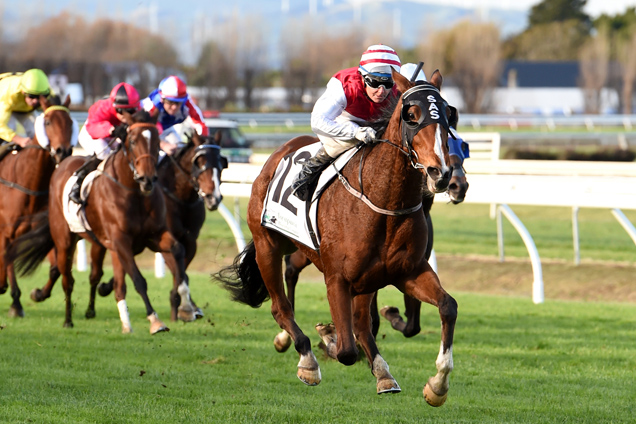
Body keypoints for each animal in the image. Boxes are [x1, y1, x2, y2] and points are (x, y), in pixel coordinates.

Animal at [0, 93, 76, 318]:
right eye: (48, 122)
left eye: (70, 122)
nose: (62, 151)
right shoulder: (6, 230)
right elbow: (6, 258)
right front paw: (14, 300)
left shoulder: (46, 231)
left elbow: (56, 268)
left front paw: (39, 293)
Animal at [7, 110, 193, 334]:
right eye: (132, 141)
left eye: (157, 141)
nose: (147, 179)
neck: (133, 191)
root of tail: (63, 165)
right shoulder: (121, 240)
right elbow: (139, 280)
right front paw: (155, 321)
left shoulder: (153, 236)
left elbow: (178, 251)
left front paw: (187, 308)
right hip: (64, 240)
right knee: (67, 279)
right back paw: (68, 320)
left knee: (105, 279)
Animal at [92, 131, 226, 320]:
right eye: (199, 163)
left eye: (221, 163)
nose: (213, 198)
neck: (180, 198)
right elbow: (179, 271)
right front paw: (180, 307)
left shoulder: (190, 240)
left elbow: (182, 271)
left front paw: (184, 305)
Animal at [217, 71, 458, 406]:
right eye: (411, 115)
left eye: (449, 114)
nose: (441, 173)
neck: (383, 201)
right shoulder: (337, 278)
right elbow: (345, 350)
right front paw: (326, 336)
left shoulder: (407, 270)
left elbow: (448, 306)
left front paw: (437, 385)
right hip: (268, 246)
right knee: (281, 307)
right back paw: (305, 356)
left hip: (365, 278)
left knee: (362, 325)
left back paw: (383, 373)